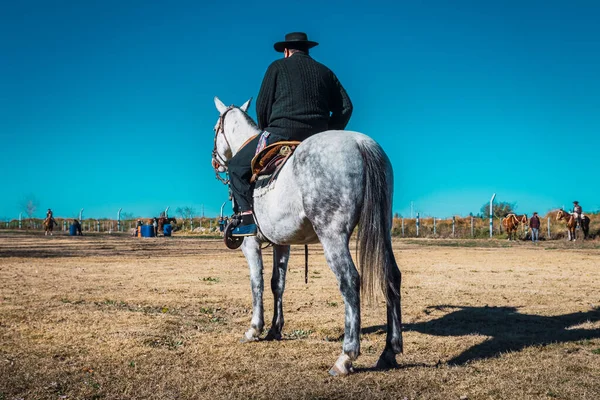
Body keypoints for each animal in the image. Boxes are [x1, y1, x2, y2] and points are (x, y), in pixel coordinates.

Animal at [211, 97, 404, 376]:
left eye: (215, 128)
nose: (215, 162)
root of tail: (361, 144)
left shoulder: (250, 243)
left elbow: (257, 283)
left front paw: (254, 329)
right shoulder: (282, 244)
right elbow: (277, 284)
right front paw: (275, 329)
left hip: (332, 235)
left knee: (349, 280)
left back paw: (346, 356)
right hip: (383, 229)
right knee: (391, 276)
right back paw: (390, 350)